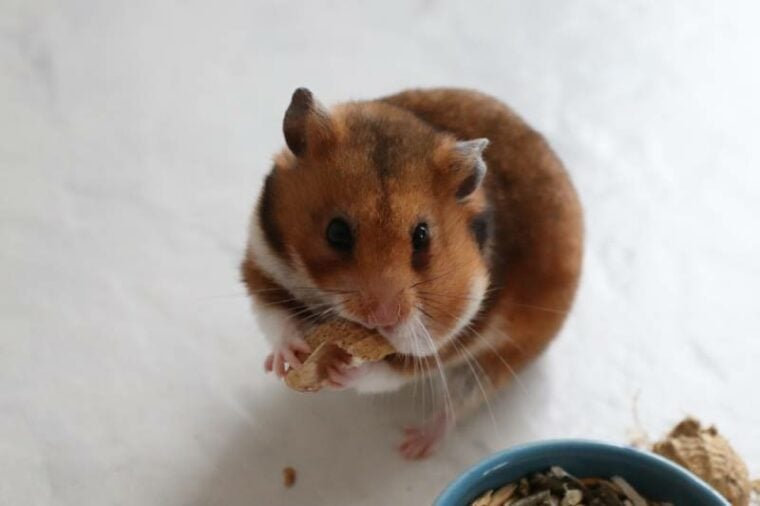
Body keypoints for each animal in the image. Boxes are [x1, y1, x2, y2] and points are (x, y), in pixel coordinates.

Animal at [241, 87, 583, 458]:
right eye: (336, 232)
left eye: (422, 236)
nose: (383, 318)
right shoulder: (262, 265)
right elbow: (275, 317)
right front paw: (284, 361)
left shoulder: (446, 336)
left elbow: (388, 369)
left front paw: (338, 373)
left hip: (501, 359)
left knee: (456, 405)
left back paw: (414, 445)